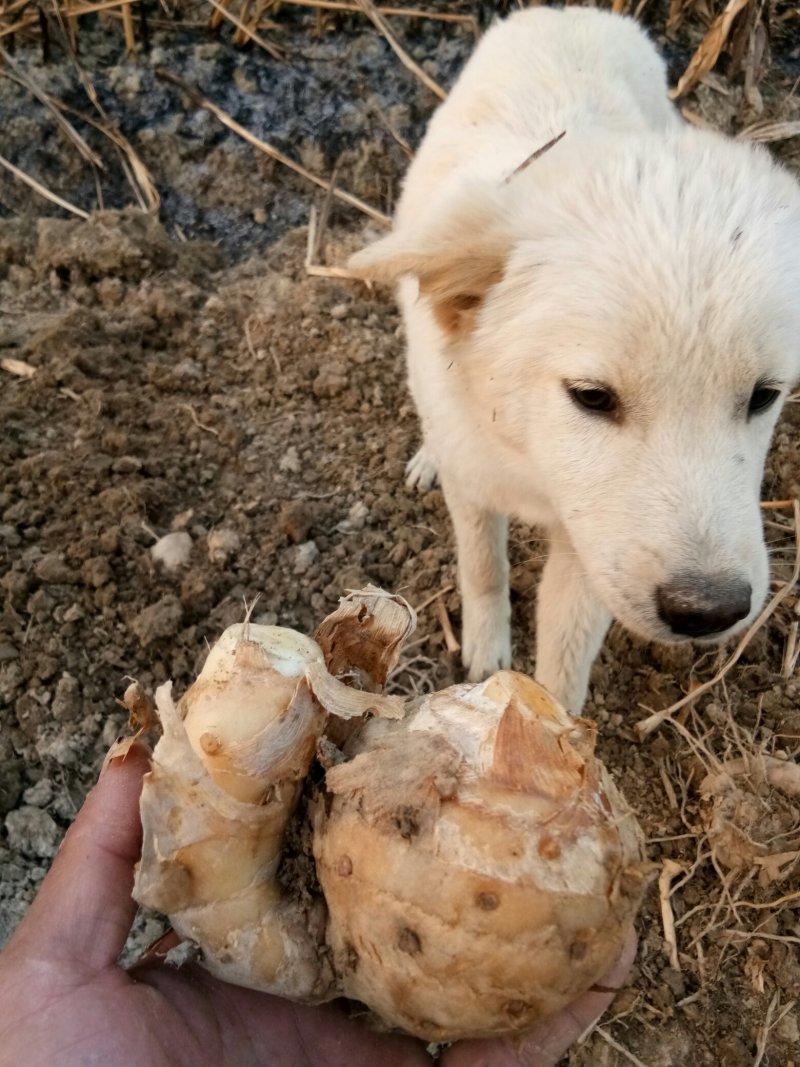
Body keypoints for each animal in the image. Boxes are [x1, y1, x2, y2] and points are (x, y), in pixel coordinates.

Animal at [354, 8, 800, 712]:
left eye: (764, 395)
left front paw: (547, 729)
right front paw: (485, 655)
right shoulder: (476, 489)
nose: (709, 610)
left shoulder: (590, 545)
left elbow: (566, 651)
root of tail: (571, 11)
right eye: (591, 396)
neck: (526, 455)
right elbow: (483, 566)